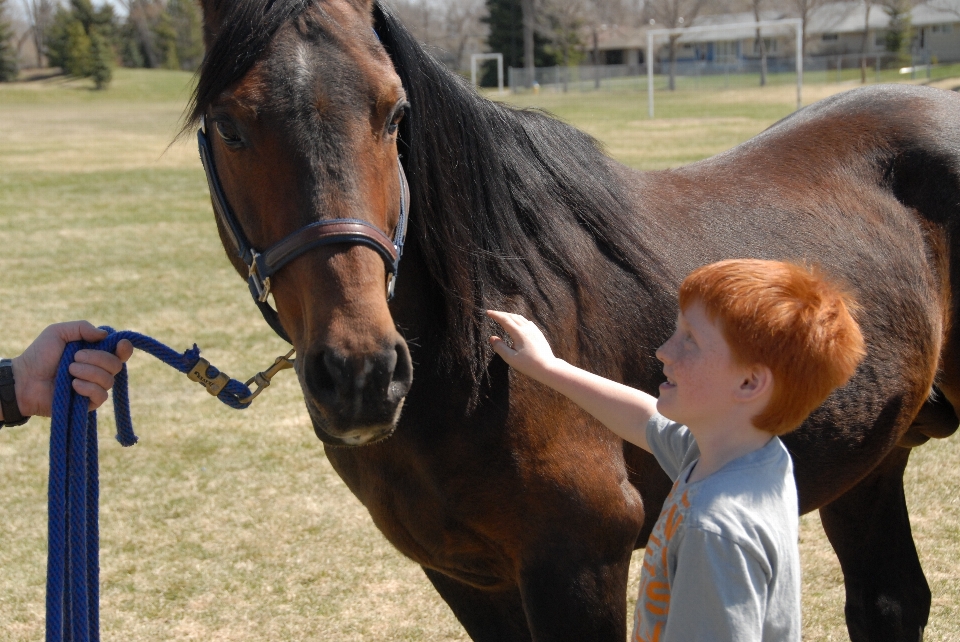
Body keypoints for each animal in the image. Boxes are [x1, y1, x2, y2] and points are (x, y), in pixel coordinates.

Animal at [186, 1, 960, 640]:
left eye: (395, 114)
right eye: (227, 125)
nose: (362, 375)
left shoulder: (578, 562)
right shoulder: (465, 573)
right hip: (868, 460)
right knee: (891, 602)